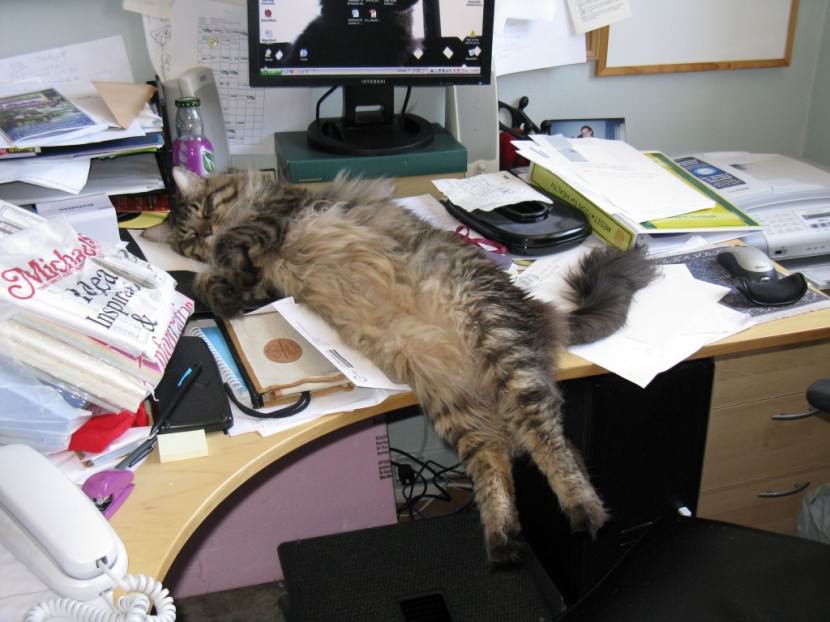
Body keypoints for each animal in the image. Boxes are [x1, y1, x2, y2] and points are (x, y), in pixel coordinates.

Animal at [148, 166, 656, 564]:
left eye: (206, 209)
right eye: (188, 234)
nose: (206, 233)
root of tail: (538, 310)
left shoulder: (259, 236)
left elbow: (218, 274)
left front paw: (188, 281)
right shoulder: (259, 285)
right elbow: (217, 284)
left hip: (501, 349)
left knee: (552, 442)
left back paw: (583, 511)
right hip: (449, 400)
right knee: (495, 457)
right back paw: (502, 540)